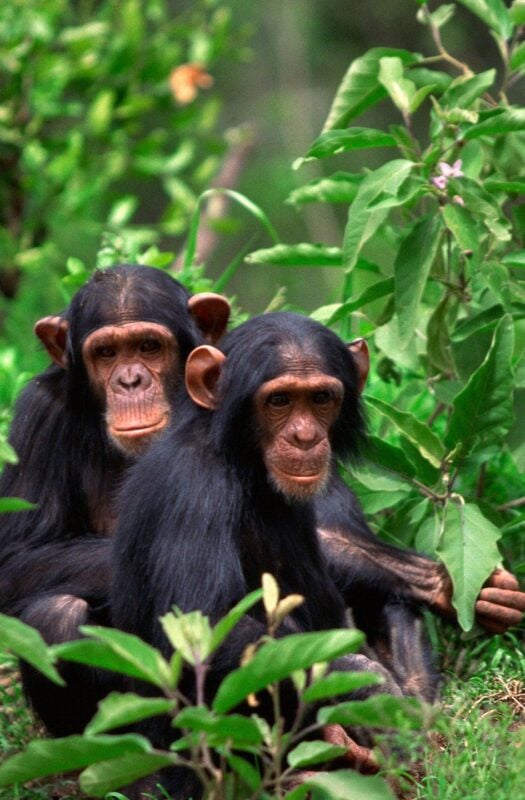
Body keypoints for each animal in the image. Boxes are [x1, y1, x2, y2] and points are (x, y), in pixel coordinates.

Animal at [0, 262, 229, 732]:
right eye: (106, 353)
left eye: (148, 346)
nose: (130, 380)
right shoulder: (37, 414)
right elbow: (17, 555)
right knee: (55, 616)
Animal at [111, 310, 438, 796]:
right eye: (279, 400)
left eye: (321, 398)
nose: (305, 437)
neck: (241, 460)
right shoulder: (194, 492)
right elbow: (202, 627)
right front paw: (369, 688)